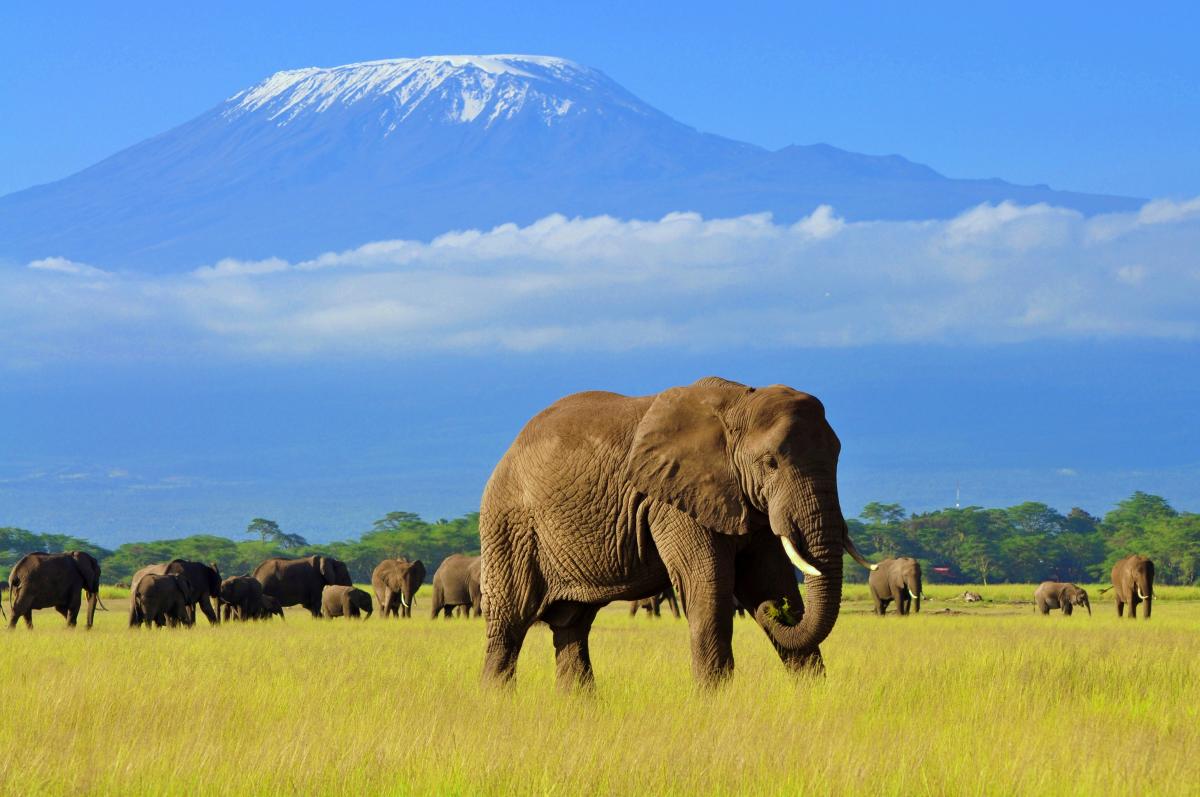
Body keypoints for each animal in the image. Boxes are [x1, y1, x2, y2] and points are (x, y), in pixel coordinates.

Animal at [477, 376, 873, 686]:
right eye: (771, 462)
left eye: (837, 456)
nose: (778, 614)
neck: (737, 403)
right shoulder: (672, 499)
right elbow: (708, 586)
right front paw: (716, 702)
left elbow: (769, 579)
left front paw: (813, 694)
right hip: (509, 526)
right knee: (509, 624)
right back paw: (496, 704)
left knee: (573, 625)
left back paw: (580, 706)